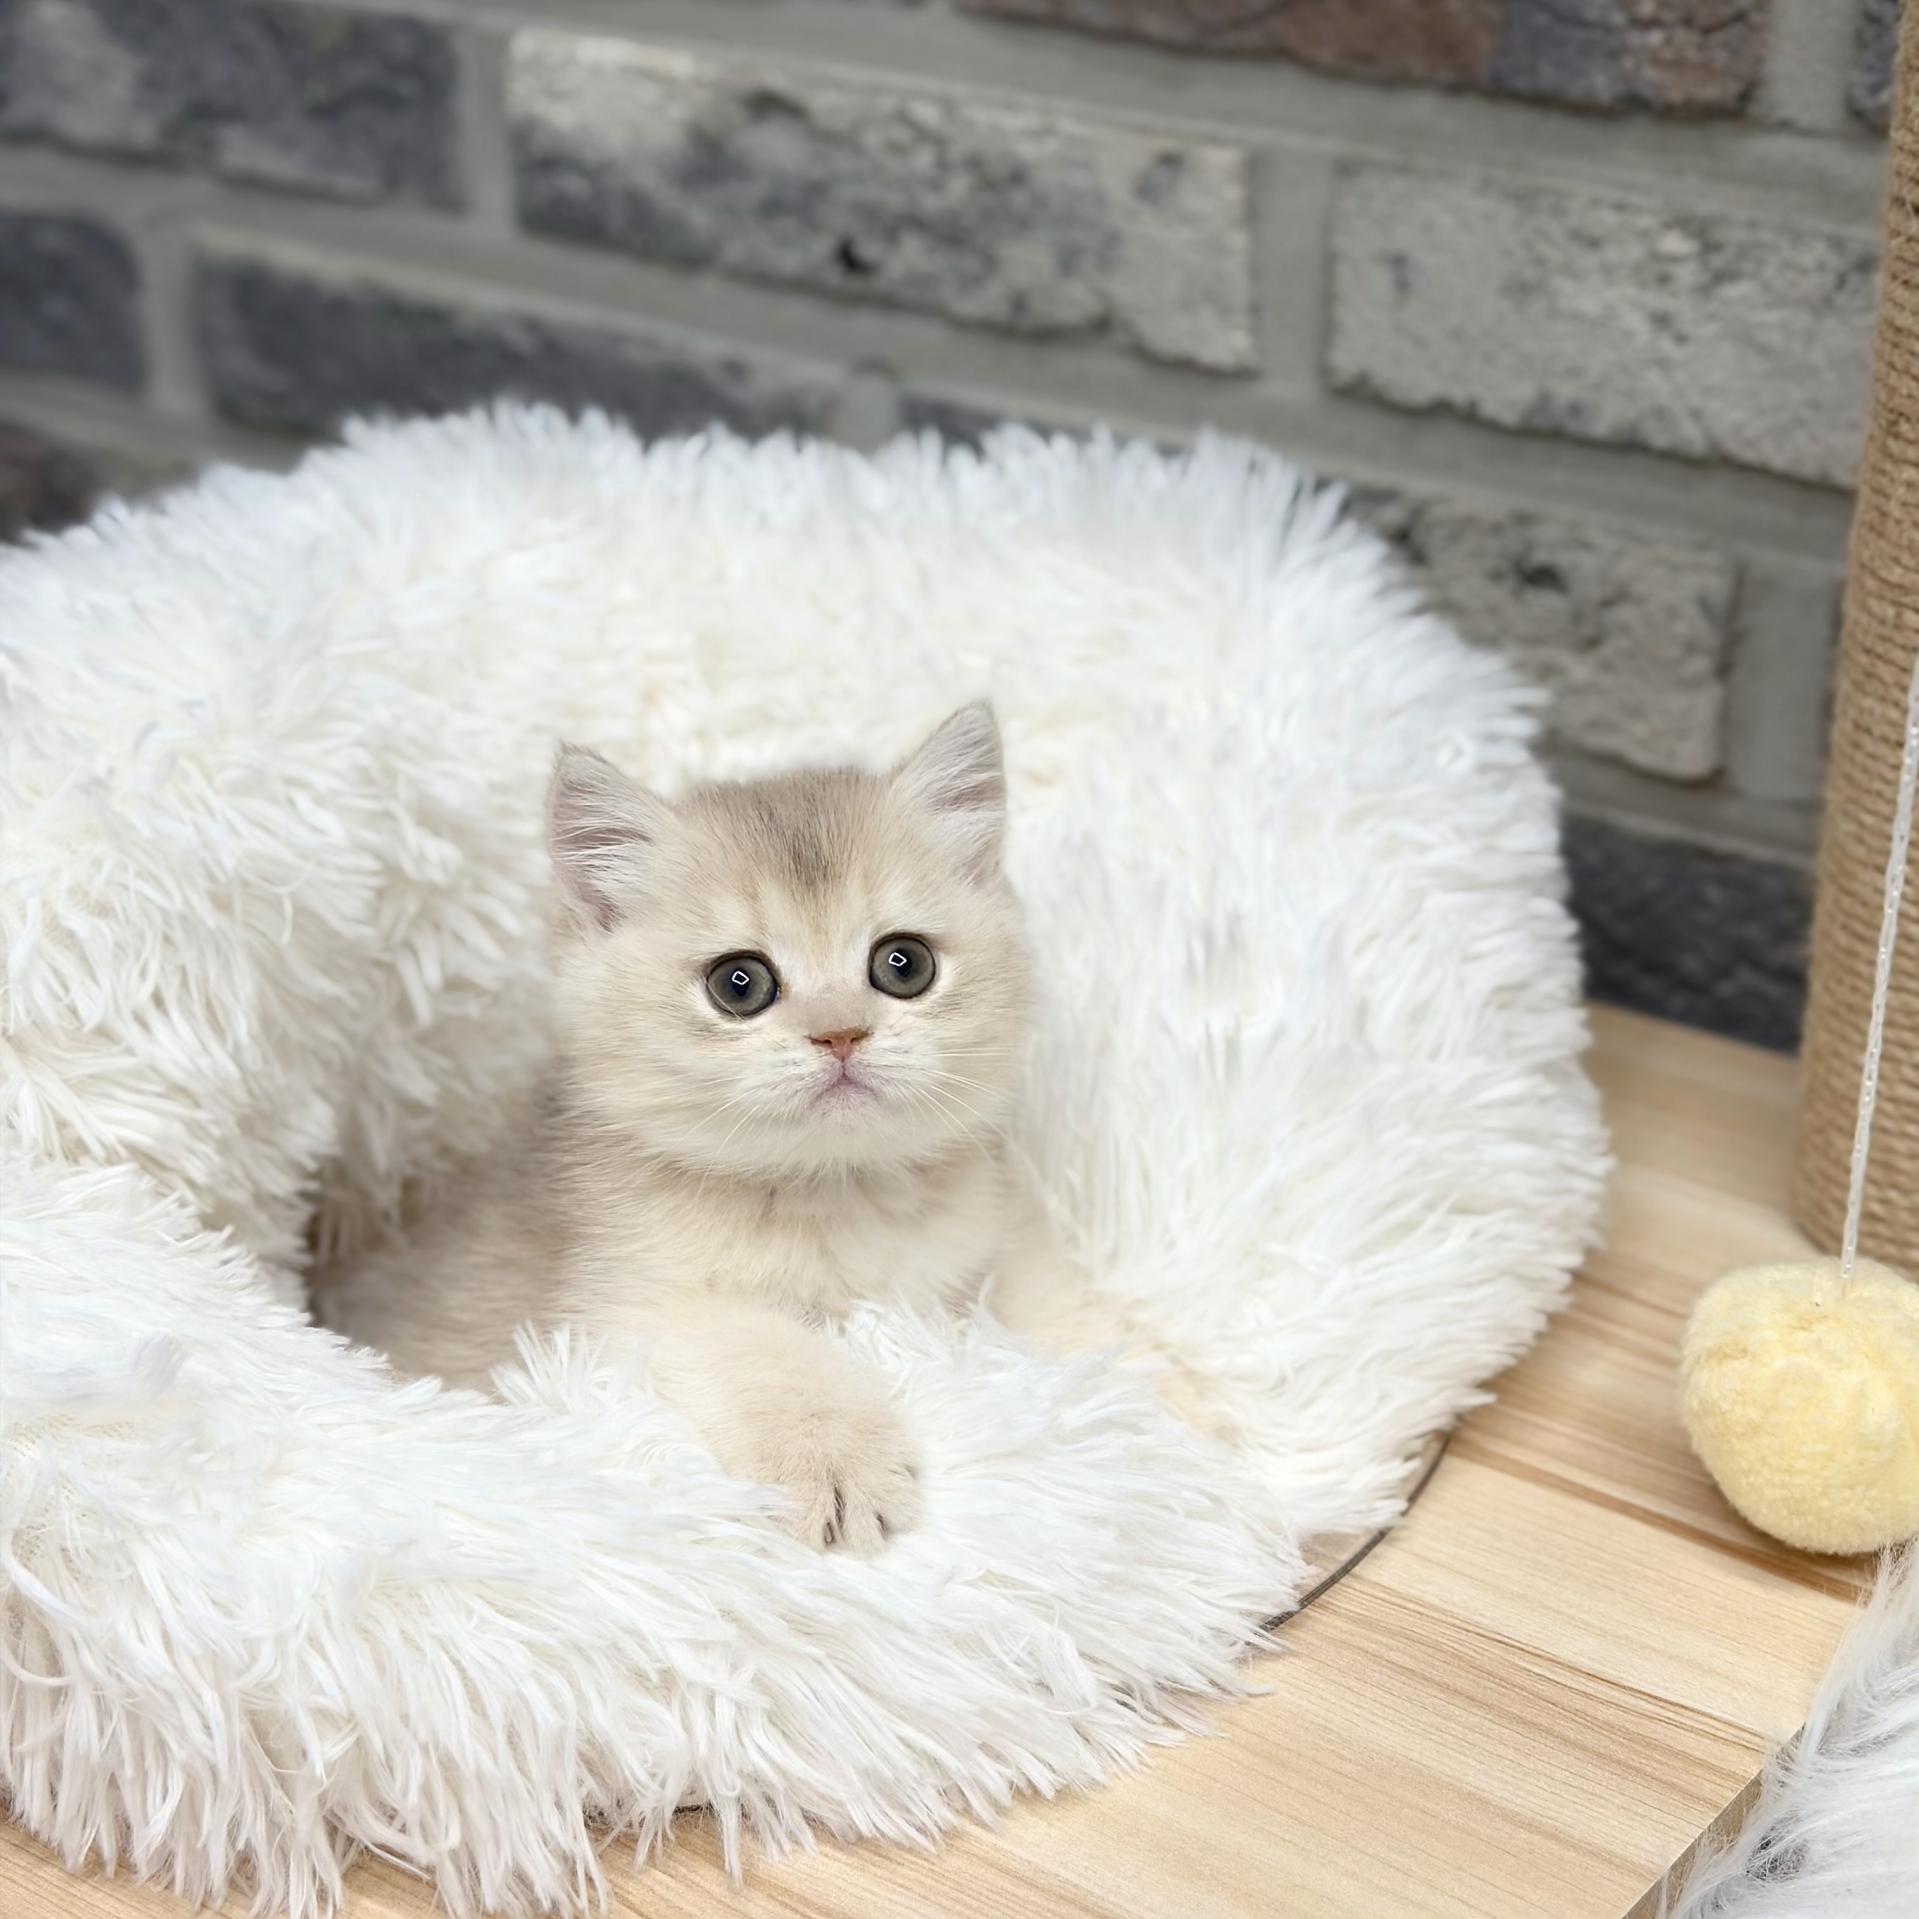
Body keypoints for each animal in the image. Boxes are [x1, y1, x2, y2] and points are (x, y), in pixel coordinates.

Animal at [317, 703, 1034, 1552]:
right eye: (739, 983)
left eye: (903, 964)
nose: (840, 1034)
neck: (826, 1193)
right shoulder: (621, 1305)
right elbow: (758, 1345)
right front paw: (833, 1455)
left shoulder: (945, 1296)